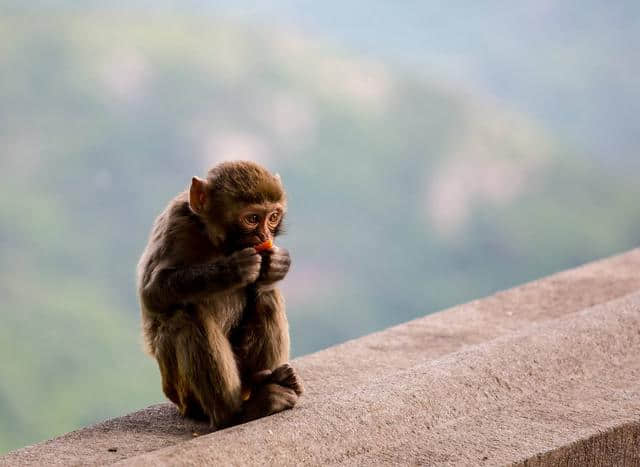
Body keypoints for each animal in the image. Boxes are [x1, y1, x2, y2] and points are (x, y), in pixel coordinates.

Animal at [136, 159, 304, 430]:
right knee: (187, 315)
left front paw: (277, 263)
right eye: (252, 218)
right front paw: (233, 269)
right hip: (180, 392)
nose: (265, 237)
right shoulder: (176, 224)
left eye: (273, 217)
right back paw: (236, 413)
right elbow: (151, 293)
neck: (215, 241)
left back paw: (272, 382)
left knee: (267, 295)